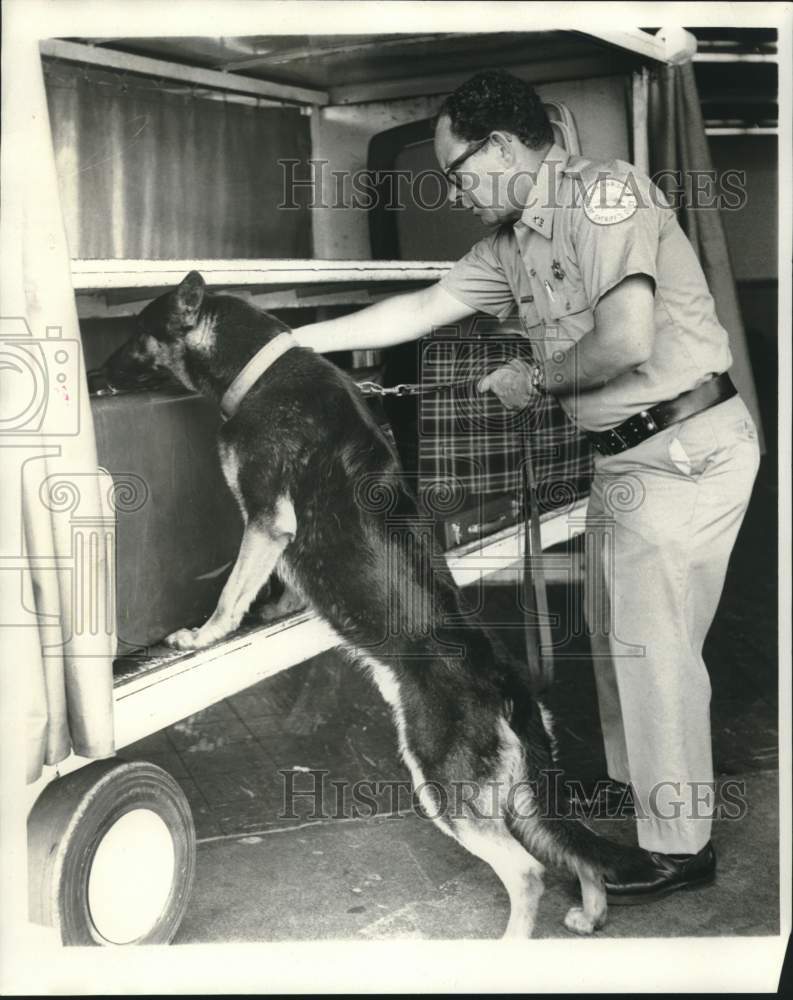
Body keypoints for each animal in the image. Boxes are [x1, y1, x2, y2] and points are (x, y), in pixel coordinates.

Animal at [96, 272, 652, 936]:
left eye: (136, 334)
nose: (96, 374)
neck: (257, 367)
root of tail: (503, 678)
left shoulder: (265, 520)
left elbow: (233, 592)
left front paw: (203, 634)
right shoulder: (278, 535)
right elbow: (272, 585)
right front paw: (273, 612)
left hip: (443, 783)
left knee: (528, 871)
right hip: (515, 792)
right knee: (572, 848)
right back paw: (590, 915)